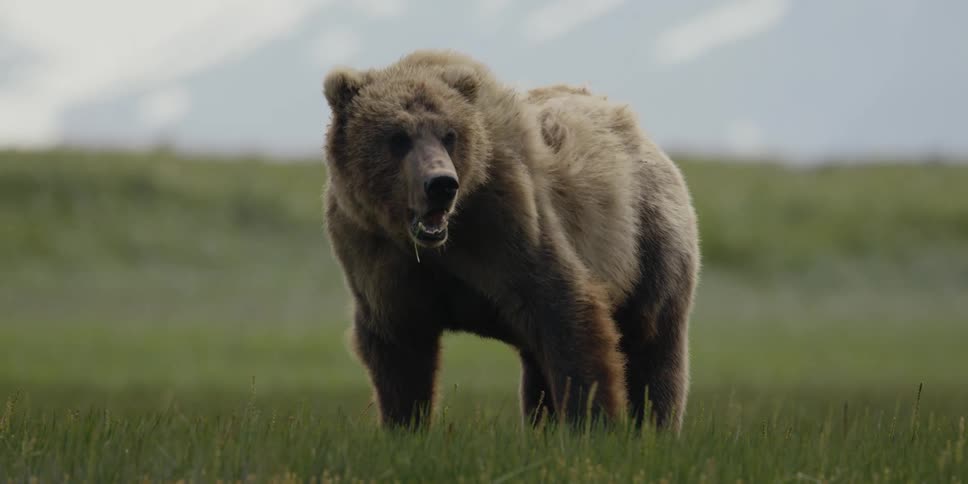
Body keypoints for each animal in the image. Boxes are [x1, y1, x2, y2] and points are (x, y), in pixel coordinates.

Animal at [321, 49, 700, 431]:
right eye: (398, 137)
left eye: (449, 134)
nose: (441, 184)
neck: (441, 242)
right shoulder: (373, 252)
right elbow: (399, 350)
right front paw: (404, 424)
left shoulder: (508, 224)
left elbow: (568, 313)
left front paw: (592, 423)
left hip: (649, 243)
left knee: (653, 348)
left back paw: (654, 424)